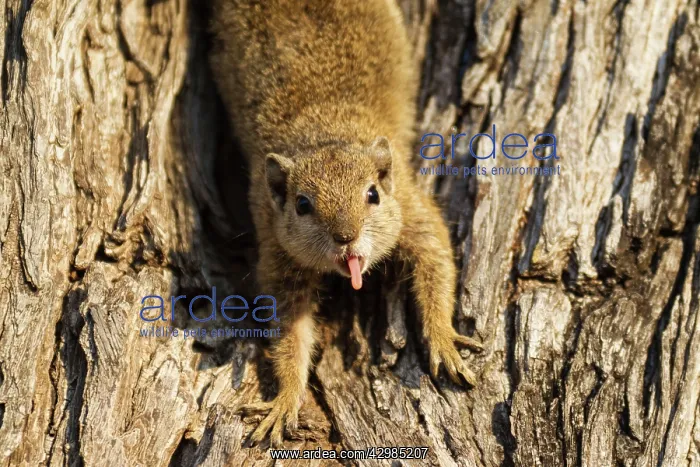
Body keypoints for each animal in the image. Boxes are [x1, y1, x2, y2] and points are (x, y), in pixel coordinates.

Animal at [209, 0, 483, 447]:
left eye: (373, 194)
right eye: (302, 204)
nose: (346, 237)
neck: (326, 132)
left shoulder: (410, 207)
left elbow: (436, 260)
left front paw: (443, 339)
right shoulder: (277, 254)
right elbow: (292, 334)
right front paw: (286, 397)